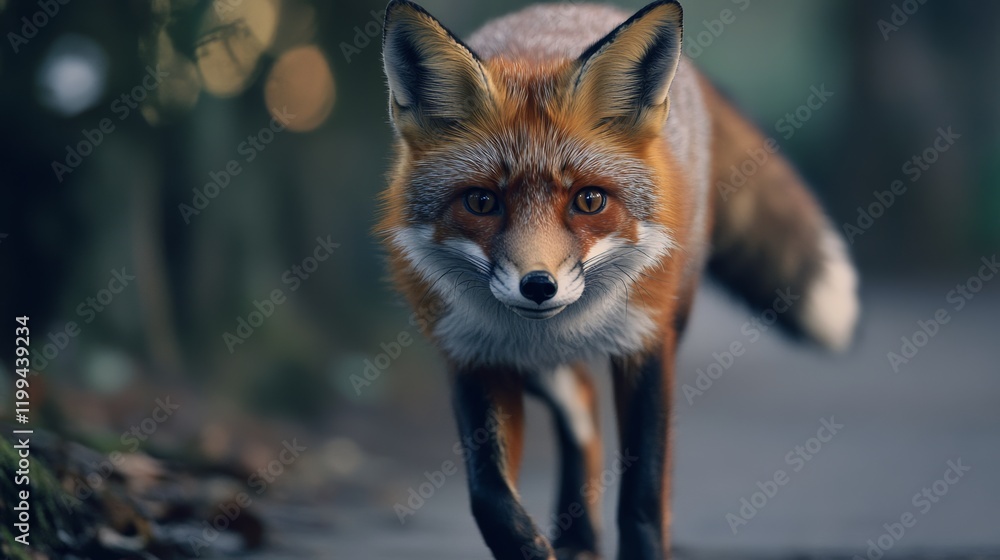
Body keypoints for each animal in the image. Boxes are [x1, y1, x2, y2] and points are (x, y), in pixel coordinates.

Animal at [377, 0, 860, 558]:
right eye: (481, 202)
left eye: (589, 200)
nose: (538, 286)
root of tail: (582, 8)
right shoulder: (471, 353)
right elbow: (489, 498)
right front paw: (530, 546)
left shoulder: (646, 342)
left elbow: (644, 494)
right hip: (529, 363)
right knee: (582, 403)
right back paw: (576, 536)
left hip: (673, 312)